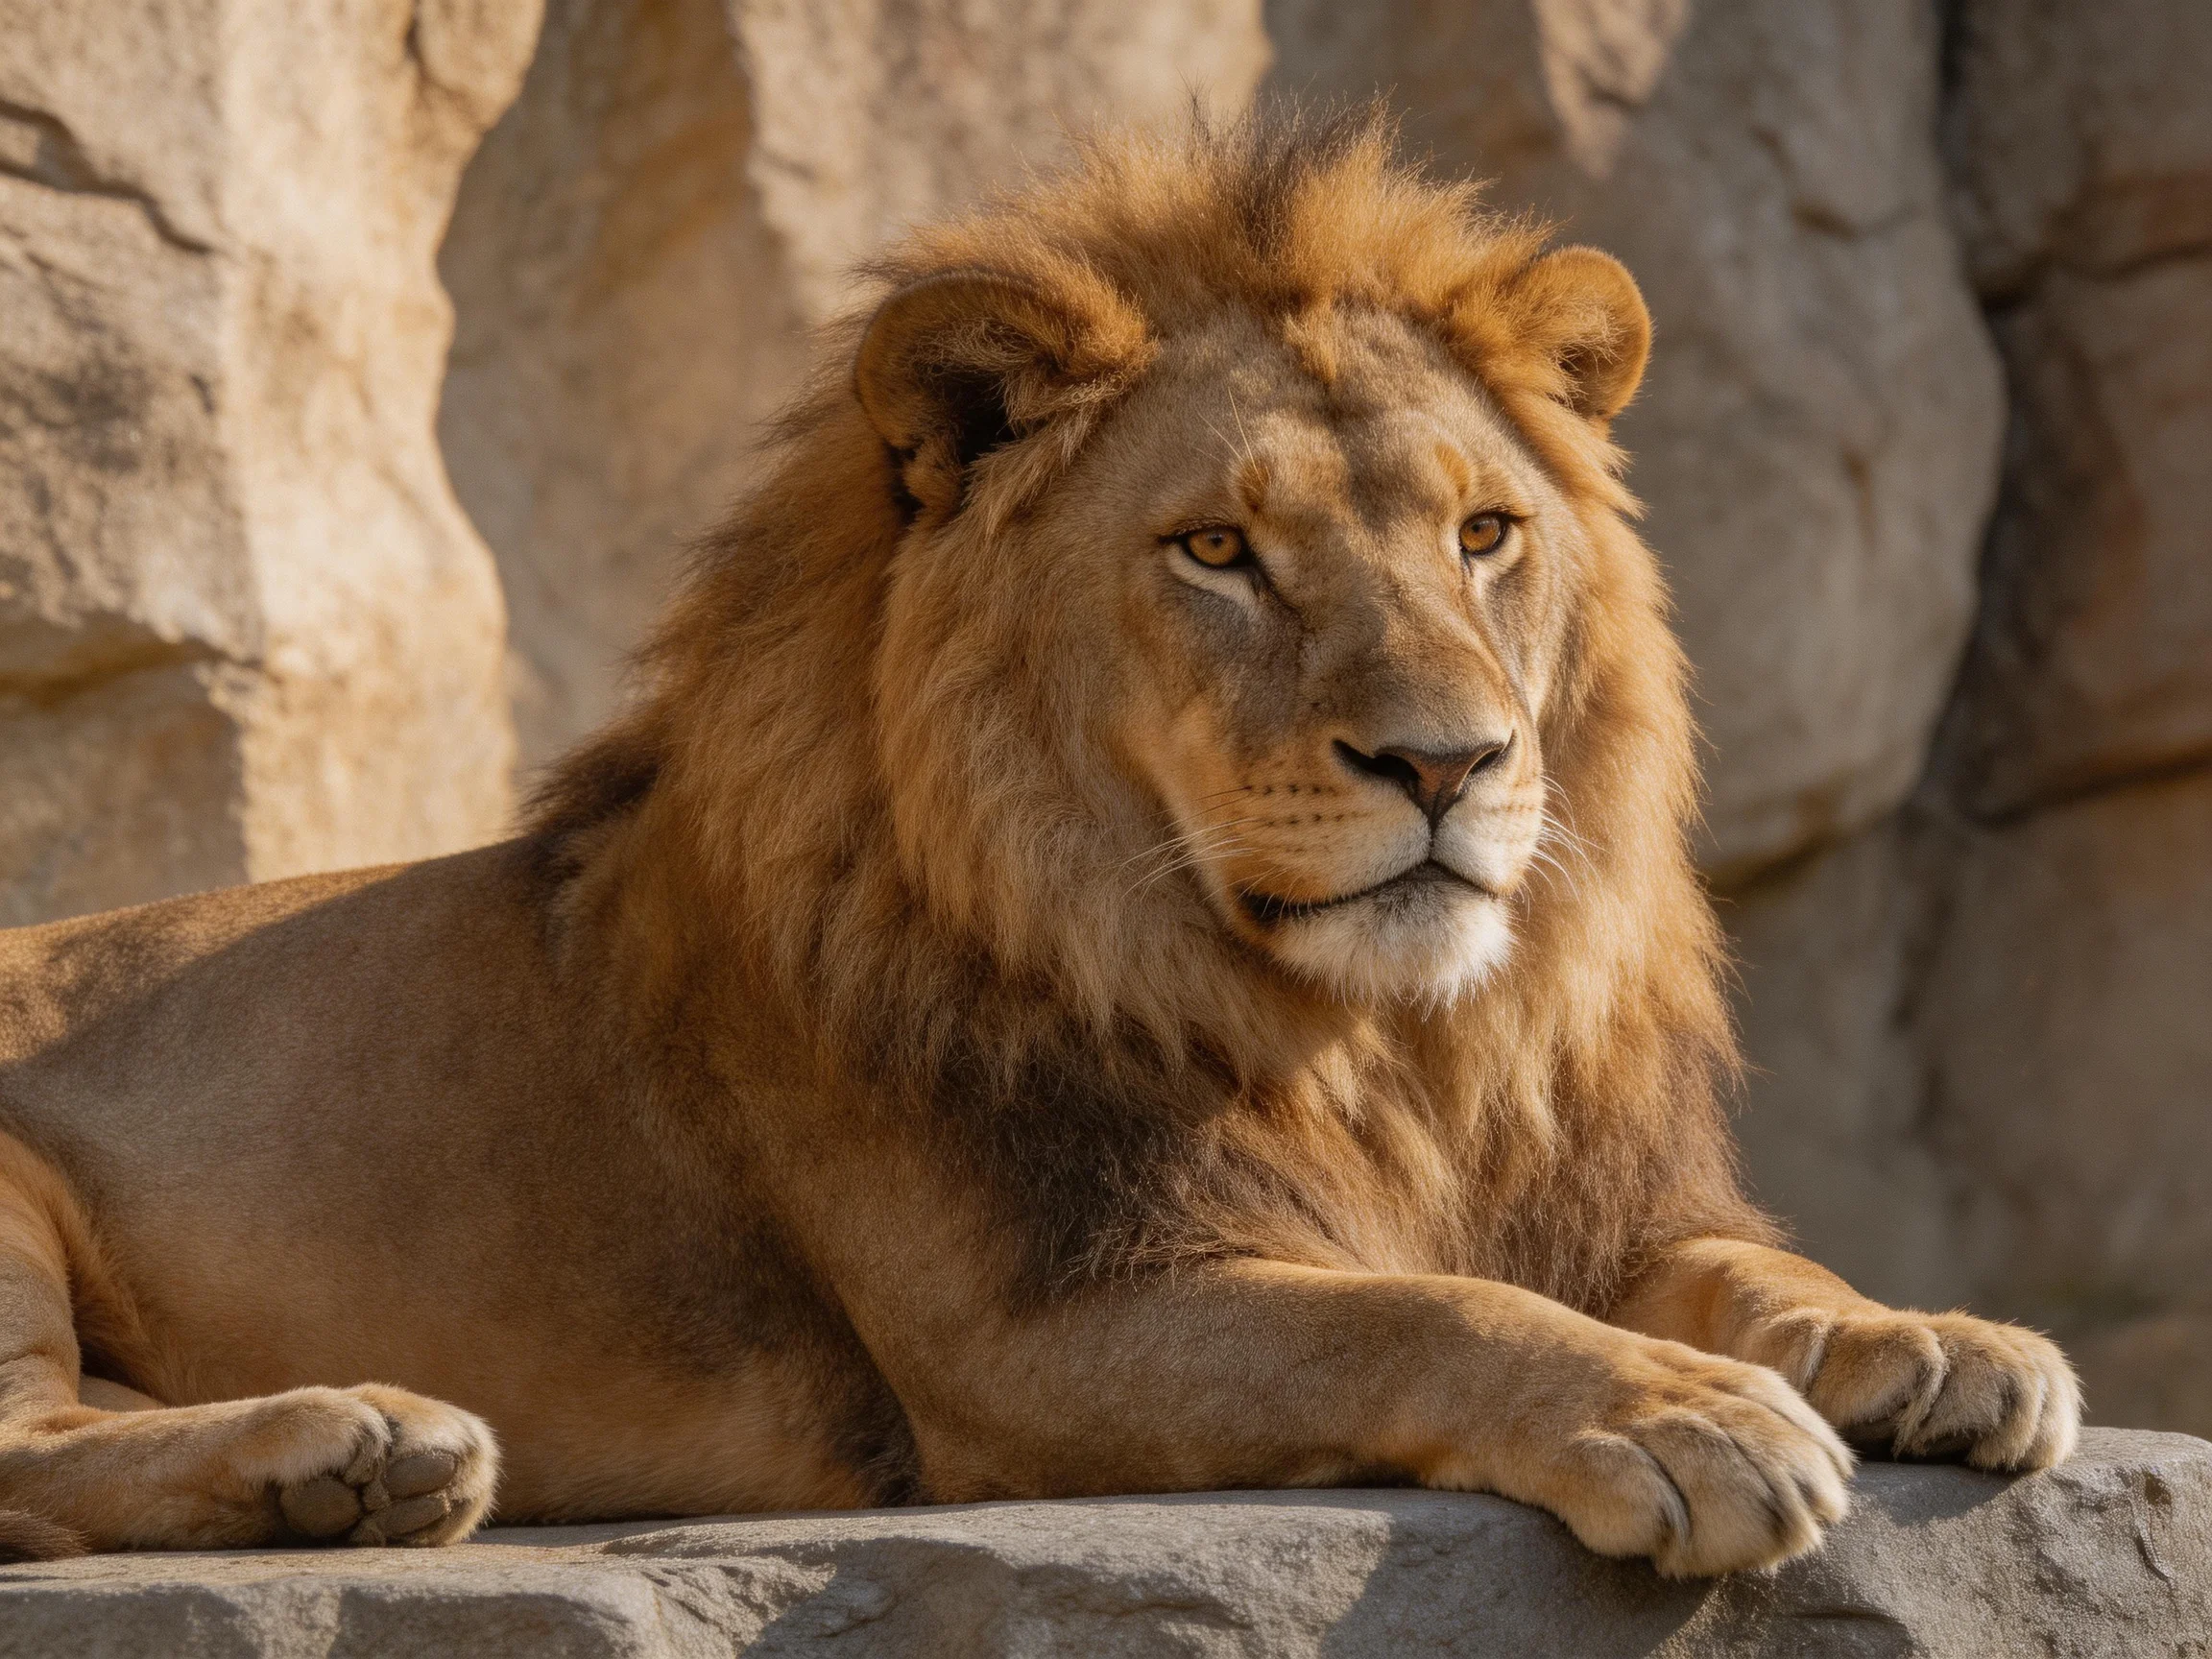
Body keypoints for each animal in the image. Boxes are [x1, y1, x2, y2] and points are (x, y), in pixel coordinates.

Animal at [0, 111, 2076, 1575]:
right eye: (1218, 551)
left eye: (1483, 532)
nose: (1451, 761)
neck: (1378, 1047)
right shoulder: (1031, 1336)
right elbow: (1413, 1311)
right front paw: (1682, 1420)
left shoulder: (1587, 1198)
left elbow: (1738, 1266)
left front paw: (1927, 1335)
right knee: (25, 1457)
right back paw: (354, 1447)